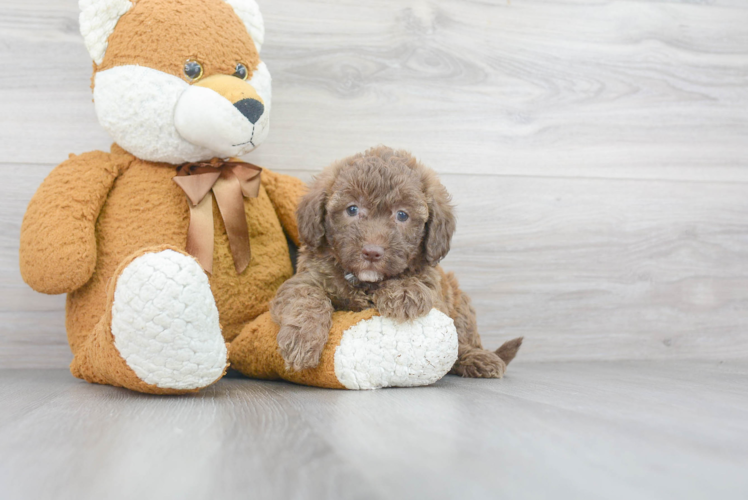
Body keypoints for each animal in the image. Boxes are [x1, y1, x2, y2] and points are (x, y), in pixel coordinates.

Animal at [272, 146, 524, 376]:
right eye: (352, 209)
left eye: (402, 215)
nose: (371, 252)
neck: (366, 282)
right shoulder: (306, 277)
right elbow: (306, 298)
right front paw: (302, 340)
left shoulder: (434, 289)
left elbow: (417, 283)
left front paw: (403, 291)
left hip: (458, 301)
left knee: (460, 341)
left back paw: (479, 358)